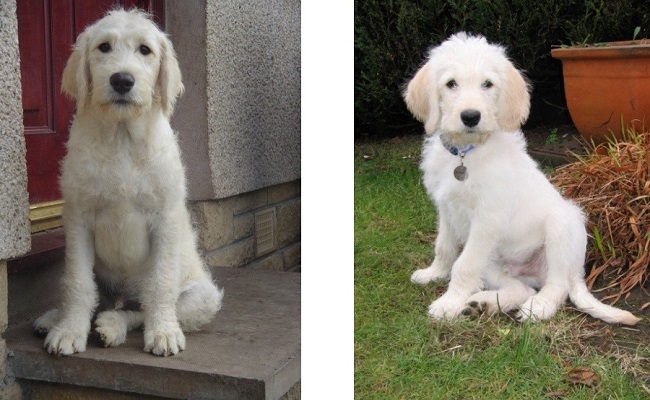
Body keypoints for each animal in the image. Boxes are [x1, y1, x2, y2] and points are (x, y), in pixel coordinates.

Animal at [34, 7, 224, 354]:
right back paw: (57, 318)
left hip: (202, 296)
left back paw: (114, 325)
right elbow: (78, 283)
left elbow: (160, 286)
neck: (122, 138)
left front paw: (163, 333)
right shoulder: (79, 219)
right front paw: (69, 330)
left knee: (140, 309)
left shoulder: (165, 218)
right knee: (96, 298)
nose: (122, 80)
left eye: (145, 50)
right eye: (104, 47)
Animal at [400, 32, 636, 324]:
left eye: (487, 84)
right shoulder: (446, 209)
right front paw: (434, 273)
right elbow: (444, 247)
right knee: (521, 289)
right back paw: (482, 304)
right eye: (451, 83)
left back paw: (539, 306)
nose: (471, 116)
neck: (466, 154)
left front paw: (449, 303)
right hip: (493, 262)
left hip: (562, 226)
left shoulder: (487, 220)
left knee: (558, 286)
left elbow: (463, 265)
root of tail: (577, 273)